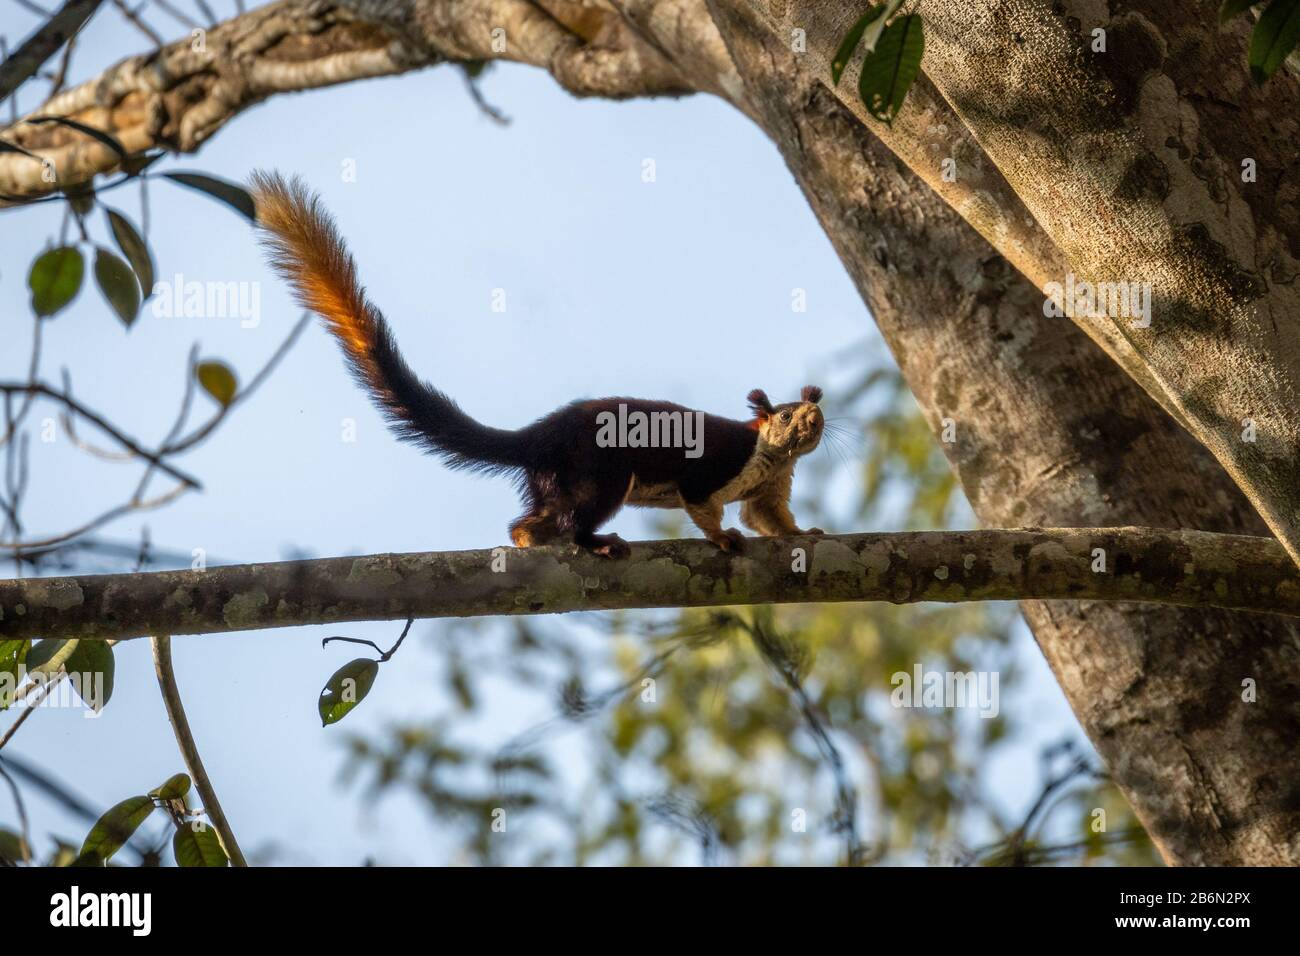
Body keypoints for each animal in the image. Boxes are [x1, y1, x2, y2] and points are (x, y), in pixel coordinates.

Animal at [248, 174, 826, 561]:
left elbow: (767, 518)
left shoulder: (770, 487)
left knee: (536, 518)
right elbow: (702, 500)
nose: (814, 420)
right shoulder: (719, 462)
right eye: (786, 414)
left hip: (558, 479)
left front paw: (803, 535)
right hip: (598, 466)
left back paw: (530, 538)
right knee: (584, 510)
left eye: (813, 411)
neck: (769, 457)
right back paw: (594, 542)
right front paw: (723, 538)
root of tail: (539, 436)